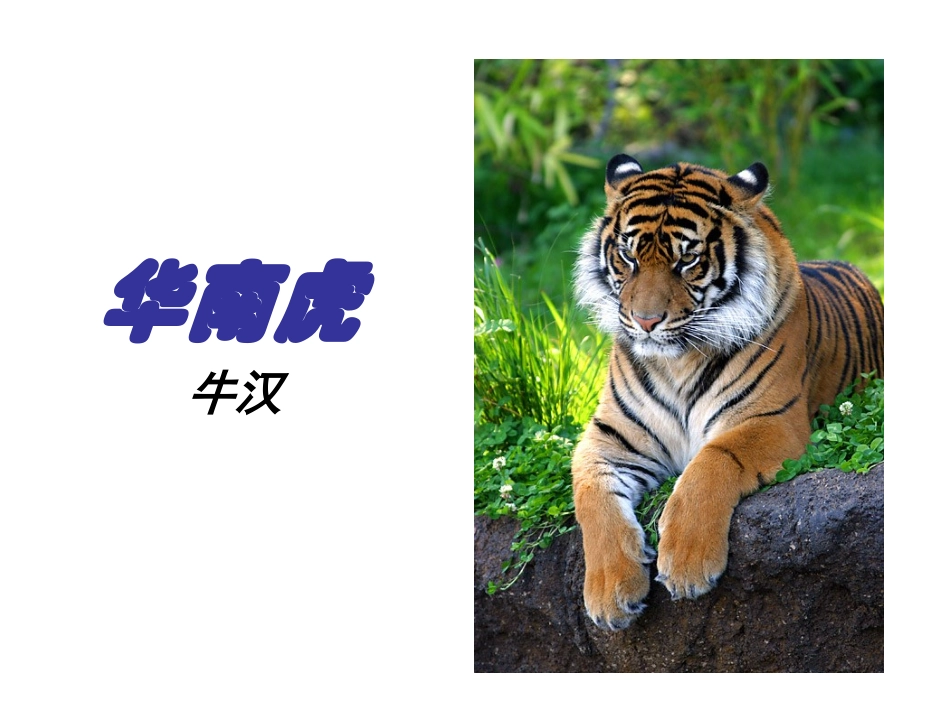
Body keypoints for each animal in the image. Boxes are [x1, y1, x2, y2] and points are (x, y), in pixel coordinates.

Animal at [571, 154, 884, 631]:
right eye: (627, 255)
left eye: (688, 259)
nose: (645, 321)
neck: (676, 362)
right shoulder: (609, 437)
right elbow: (593, 497)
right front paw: (610, 594)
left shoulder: (772, 420)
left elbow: (711, 462)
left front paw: (687, 563)